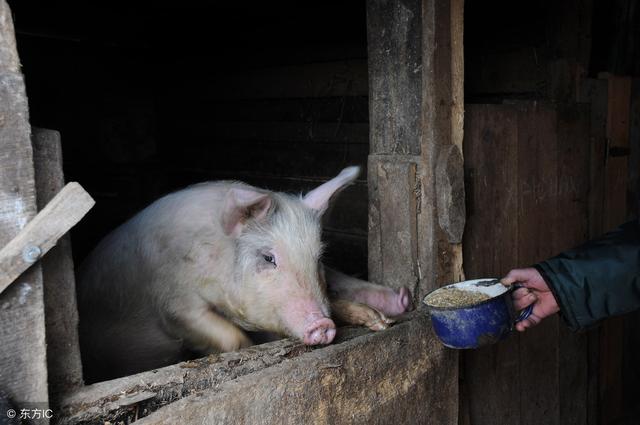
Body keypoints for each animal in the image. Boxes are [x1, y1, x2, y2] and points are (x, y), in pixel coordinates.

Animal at [77, 166, 412, 380]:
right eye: (268, 257)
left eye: (317, 258)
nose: (324, 325)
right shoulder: (173, 303)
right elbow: (233, 340)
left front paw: (380, 318)